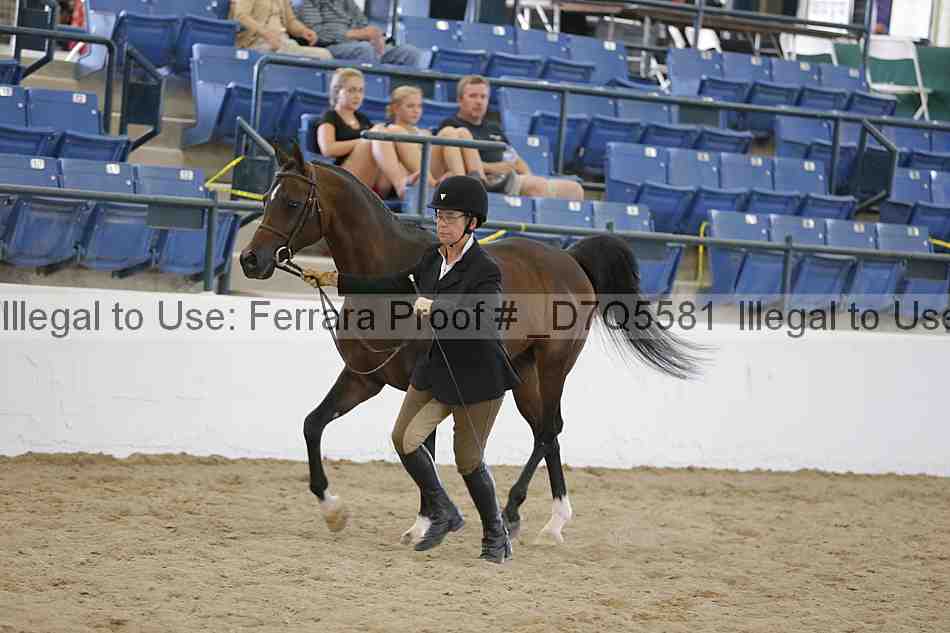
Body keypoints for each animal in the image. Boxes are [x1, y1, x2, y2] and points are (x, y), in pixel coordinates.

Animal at [239, 145, 705, 545]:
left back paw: (525, 514)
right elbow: (313, 424)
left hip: (555, 364)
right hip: (524, 373)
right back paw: (546, 519)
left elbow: (421, 446)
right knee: (546, 431)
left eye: (292, 203)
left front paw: (426, 522)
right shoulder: (363, 378)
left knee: (548, 430)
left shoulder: (421, 380)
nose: (250, 260)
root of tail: (570, 259)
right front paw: (333, 509)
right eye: (265, 198)